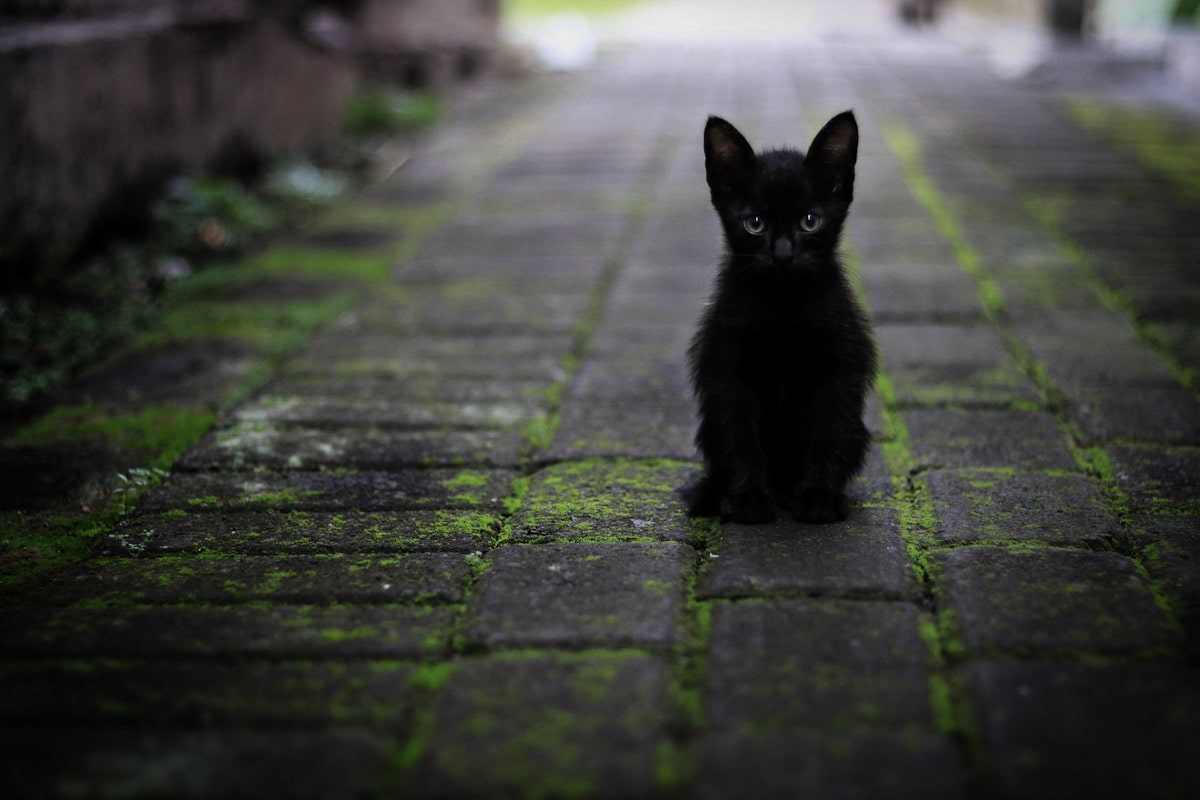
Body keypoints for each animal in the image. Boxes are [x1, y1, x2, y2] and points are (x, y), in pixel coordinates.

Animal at [691, 112, 878, 525]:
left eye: (810, 221)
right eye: (755, 223)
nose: (782, 255)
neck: (783, 306)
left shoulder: (839, 367)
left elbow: (828, 431)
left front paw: (819, 497)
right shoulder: (728, 371)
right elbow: (740, 434)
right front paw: (748, 499)